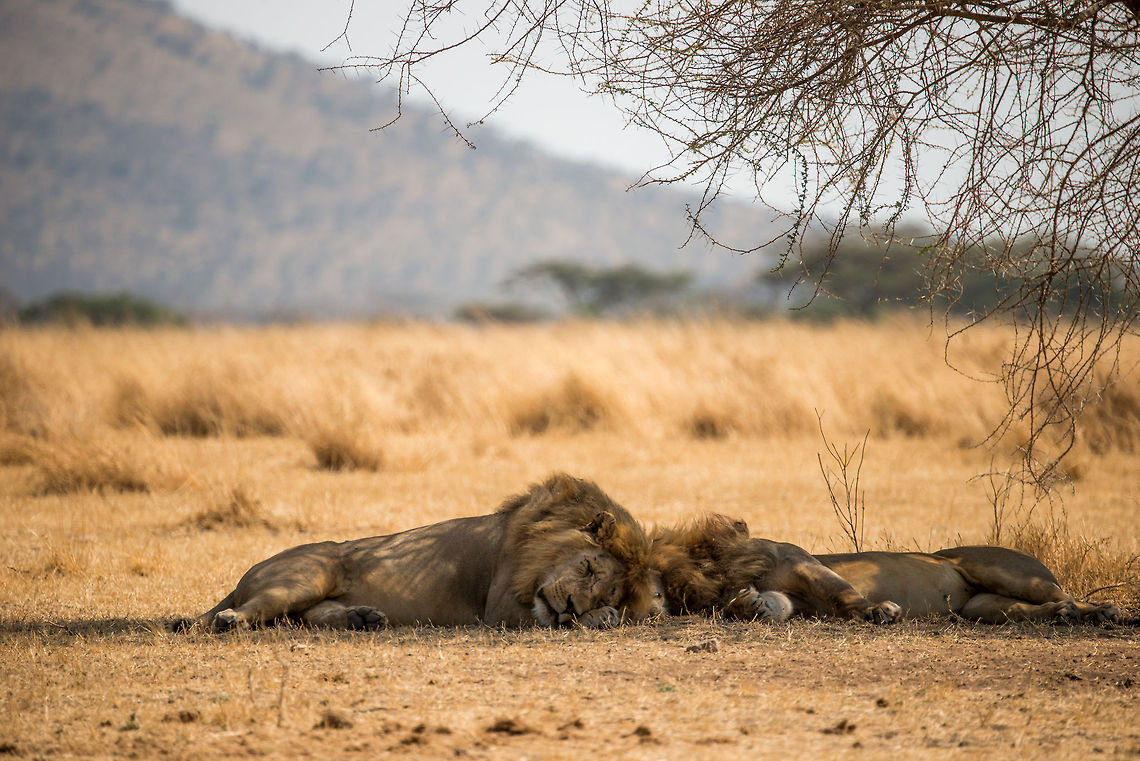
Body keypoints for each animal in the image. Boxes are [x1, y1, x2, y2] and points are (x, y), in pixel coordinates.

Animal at [179, 473, 664, 632]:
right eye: (587, 567)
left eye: (606, 590)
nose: (570, 607)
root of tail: (247, 574)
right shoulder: (499, 607)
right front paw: (598, 619)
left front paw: (601, 615)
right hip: (308, 574)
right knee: (256, 610)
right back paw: (231, 620)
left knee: (304, 616)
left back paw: (362, 618)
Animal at [650, 514, 901, 624]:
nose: (651, 609)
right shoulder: (792, 601)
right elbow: (774, 604)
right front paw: (747, 607)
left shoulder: (802, 566)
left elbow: (842, 593)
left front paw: (879, 610)